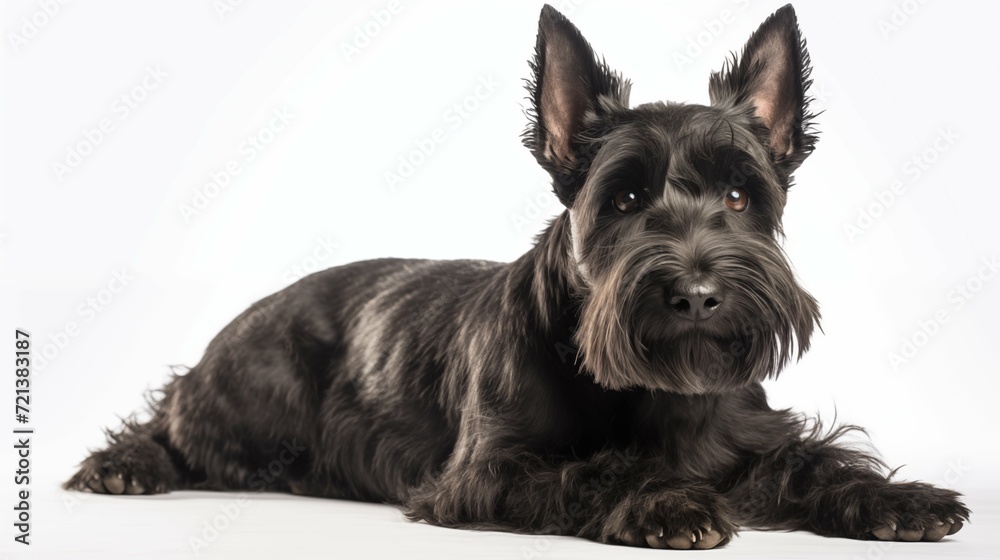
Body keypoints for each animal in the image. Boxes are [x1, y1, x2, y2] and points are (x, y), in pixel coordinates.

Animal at [64, 2, 968, 548]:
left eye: (742, 195)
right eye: (625, 198)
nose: (697, 295)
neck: (647, 392)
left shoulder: (750, 437)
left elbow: (815, 460)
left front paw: (903, 500)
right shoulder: (487, 473)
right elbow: (598, 468)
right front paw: (668, 500)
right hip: (250, 397)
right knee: (171, 423)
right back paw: (124, 466)